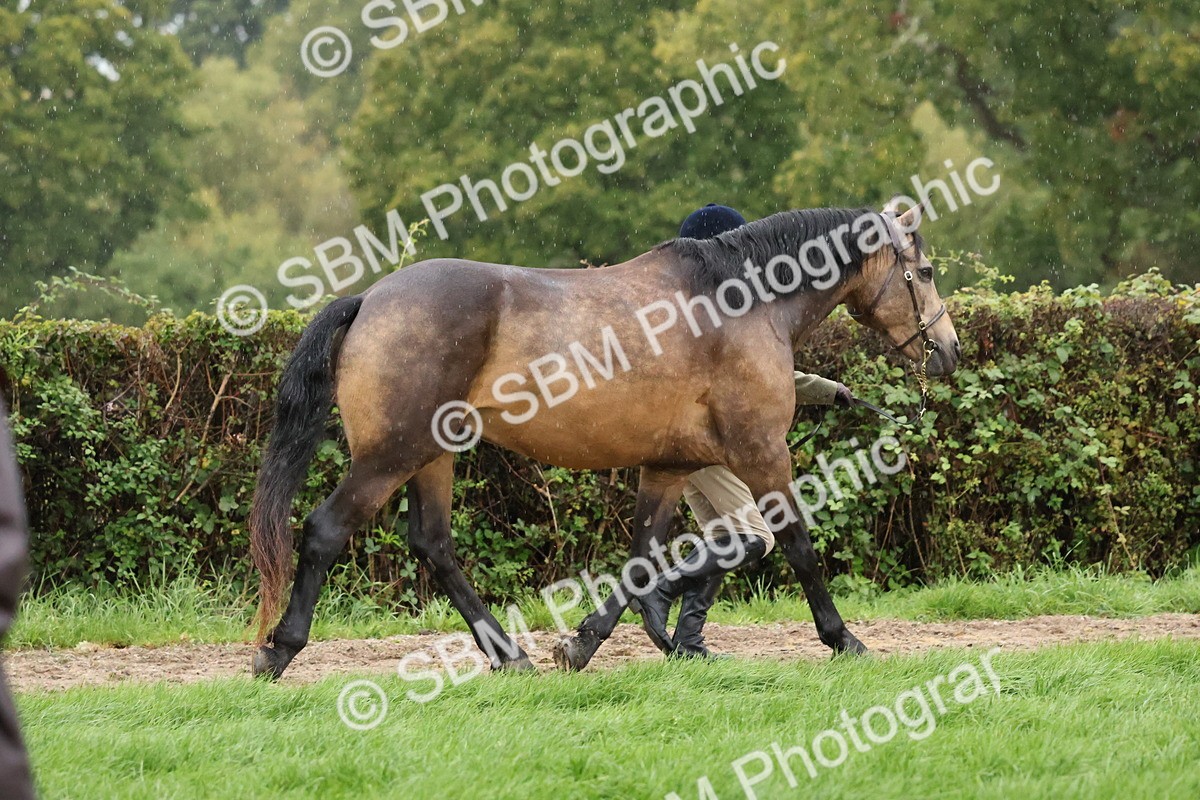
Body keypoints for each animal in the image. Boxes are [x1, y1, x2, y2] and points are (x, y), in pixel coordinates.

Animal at [248, 200, 960, 680]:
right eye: (924, 271)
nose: (948, 352)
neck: (742, 301)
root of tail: (369, 299)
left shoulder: (668, 467)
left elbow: (644, 560)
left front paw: (584, 642)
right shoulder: (763, 454)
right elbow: (799, 547)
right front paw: (845, 640)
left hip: (432, 455)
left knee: (433, 544)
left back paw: (512, 656)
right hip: (391, 454)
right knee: (325, 530)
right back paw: (277, 652)